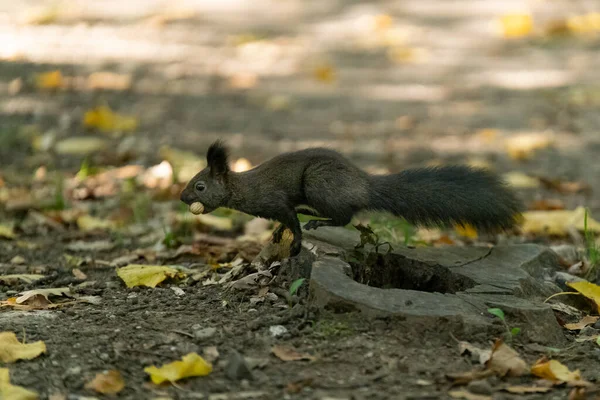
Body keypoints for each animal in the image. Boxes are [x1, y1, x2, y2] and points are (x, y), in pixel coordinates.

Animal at [180, 141, 524, 256]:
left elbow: (291, 219)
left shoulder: (274, 200)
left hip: (319, 184)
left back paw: (316, 220)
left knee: (345, 216)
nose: (183, 197)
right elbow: (286, 219)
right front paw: (279, 233)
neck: (243, 188)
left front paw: (295, 242)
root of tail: (364, 185)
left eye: (199, 186)